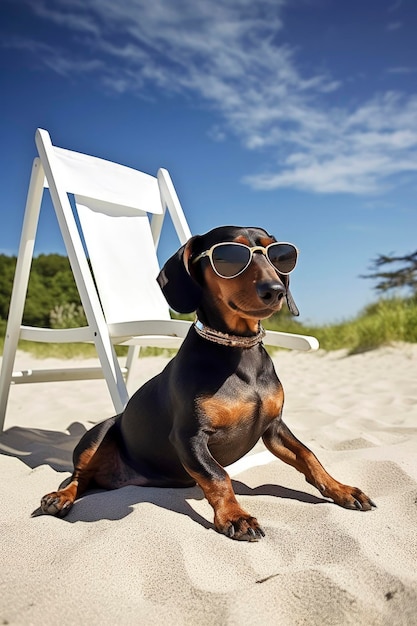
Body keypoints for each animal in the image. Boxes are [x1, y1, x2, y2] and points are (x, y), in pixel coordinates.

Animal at [40, 227, 376, 540]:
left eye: (279, 255)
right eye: (229, 257)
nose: (276, 290)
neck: (238, 350)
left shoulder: (274, 427)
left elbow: (309, 456)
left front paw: (341, 489)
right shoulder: (189, 437)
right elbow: (218, 475)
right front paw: (236, 517)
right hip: (101, 432)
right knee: (78, 477)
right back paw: (60, 497)